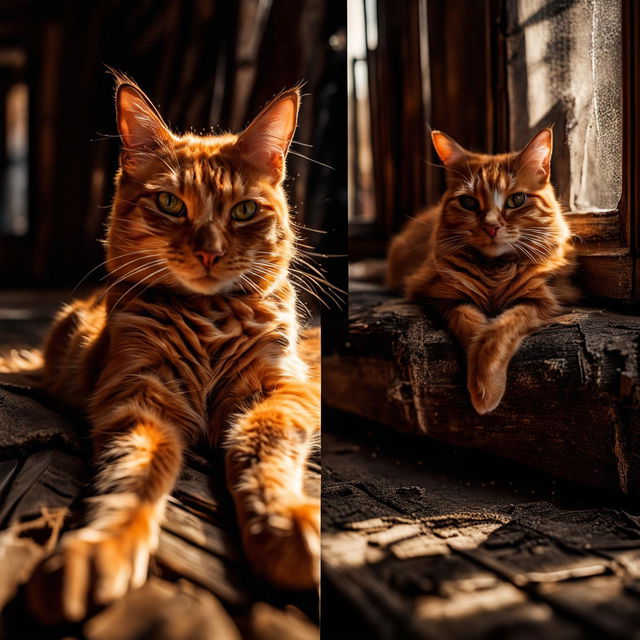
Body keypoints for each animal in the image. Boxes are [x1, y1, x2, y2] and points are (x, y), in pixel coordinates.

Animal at [20, 75, 320, 620]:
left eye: (244, 210)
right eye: (170, 204)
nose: (209, 252)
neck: (209, 320)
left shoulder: (278, 391)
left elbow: (262, 450)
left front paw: (284, 523)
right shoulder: (139, 394)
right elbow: (135, 476)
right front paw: (101, 547)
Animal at [388, 130, 576, 416]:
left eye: (516, 200)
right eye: (468, 202)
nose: (491, 226)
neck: (494, 271)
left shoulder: (540, 301)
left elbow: (498, 332)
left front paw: (486, 386)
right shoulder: (442, 296)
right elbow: (473, 327)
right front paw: (481, 382)